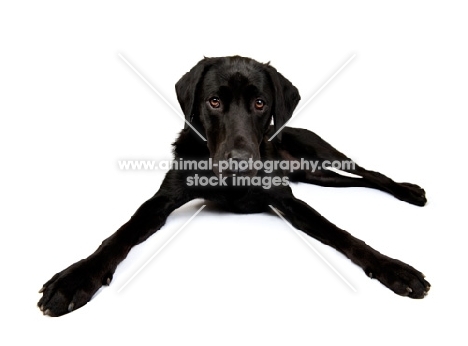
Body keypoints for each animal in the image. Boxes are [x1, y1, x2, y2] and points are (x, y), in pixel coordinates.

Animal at [38, 56, 430, 316]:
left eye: (260, 103)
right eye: (214, 101)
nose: (240, 159)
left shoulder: (286, 198)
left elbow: (341, 233)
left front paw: (393, 268)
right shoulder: (162, 200)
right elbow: (121, 234)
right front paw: (76, 278)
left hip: (324, 153)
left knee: (369, 173)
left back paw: (409, 191)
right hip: (317, 175)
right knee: (354, 180)